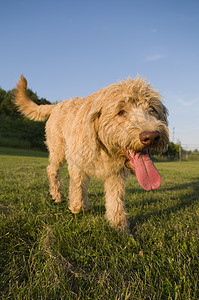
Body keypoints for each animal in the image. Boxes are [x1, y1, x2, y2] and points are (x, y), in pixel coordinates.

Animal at [14, 75, 169, 230]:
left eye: (152, 109)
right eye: (121, 111)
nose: (151, 136)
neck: (104, 149)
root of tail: (57, 105)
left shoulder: (116, 175)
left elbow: (115, 200)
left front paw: (119, 226)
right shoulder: (77, 163)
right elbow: (78, 187)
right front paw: (78, 207)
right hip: (58, 150)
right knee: (51, 170)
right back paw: (57, 195)